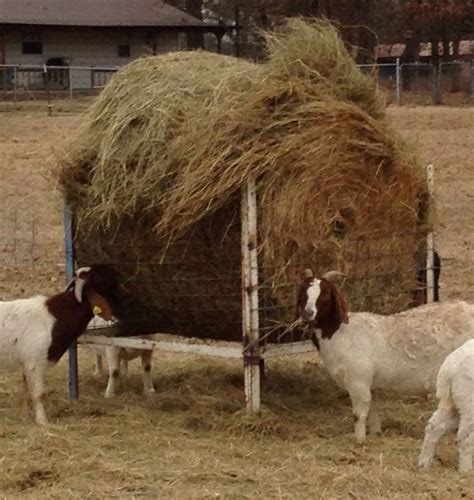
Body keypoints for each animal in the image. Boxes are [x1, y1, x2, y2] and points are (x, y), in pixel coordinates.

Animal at [0, 266, 118, 426]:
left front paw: (25, 416)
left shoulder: (25, 364)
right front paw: (42, 421)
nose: (115, 274)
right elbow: (38, 394)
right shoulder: (34, 363)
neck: (55, 318)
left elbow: (26, 392)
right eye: (97, 276)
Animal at [298, 270, 472, 442]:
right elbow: (372, 412)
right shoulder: (369, 384)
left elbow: (358, 415)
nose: (308, 313)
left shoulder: (358, 382)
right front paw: (376, 433)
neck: (340, 332)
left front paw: (359, 440)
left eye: (325, 293)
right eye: (303, 291)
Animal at [420, 338, 472, 470]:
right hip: (469, 401)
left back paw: (424, 463)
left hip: (453, 401)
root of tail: (449, 367)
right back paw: (466, 469)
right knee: (465, 435)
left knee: (434, 425)